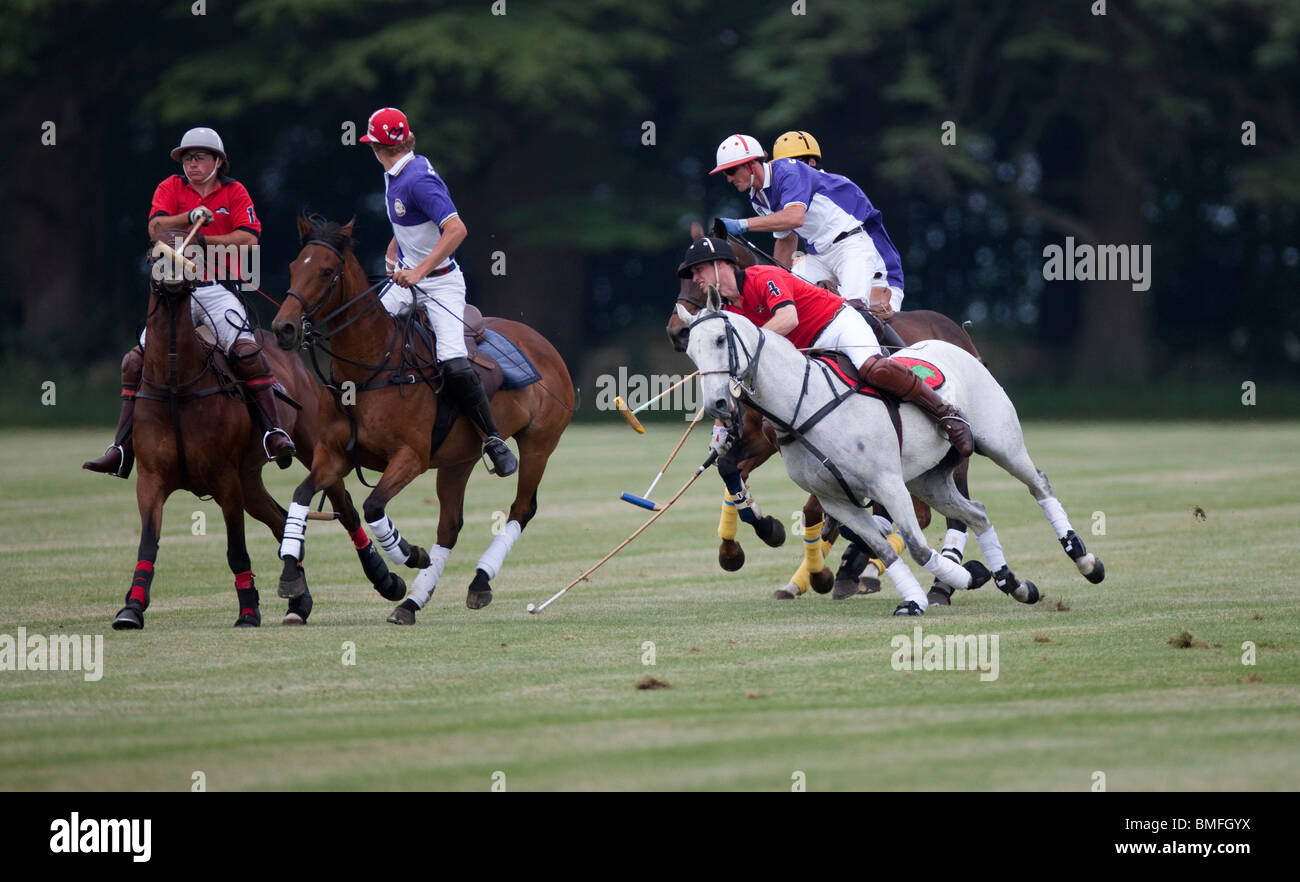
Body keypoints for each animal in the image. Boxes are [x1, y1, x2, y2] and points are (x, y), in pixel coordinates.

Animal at [112, 238, 366, 632]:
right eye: (156, 254)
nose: (172, 277)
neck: (175, 384)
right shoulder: (151, 480)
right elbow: (148, 544)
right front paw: (132, 608)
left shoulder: (224, 480)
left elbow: (236, 549)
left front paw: (248, 610)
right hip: (249, 478)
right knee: (281, 520)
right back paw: (299, 599)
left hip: (311, 446)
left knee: (346, 508)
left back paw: (384, 578)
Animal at [270, 217, 574, 624]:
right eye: (293, 266)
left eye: (326, 271)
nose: (284, 328)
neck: (369, 370)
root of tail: (543, 343)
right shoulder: (331, 454)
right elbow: (301, 495)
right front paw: (290, 575)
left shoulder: (410, 456)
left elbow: (373, 507)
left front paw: (409, 554)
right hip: (458, 459)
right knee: (450, 526)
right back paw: (412, 602)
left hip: (538, 443)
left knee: (522, 508)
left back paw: (478, 580)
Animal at [665, 225, 977, 603]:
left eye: (696, 278)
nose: (677, 331)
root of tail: (956, 330)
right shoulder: (763, 439)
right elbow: (730, 471)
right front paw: (748, 543)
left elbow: (816, 509)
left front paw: (822, 572)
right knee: (917, 512)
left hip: (947, 455)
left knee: (949, 513)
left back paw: (932, 585)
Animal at [681, 294, 1107, 619]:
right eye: (690, 350)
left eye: (719, 339)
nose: (718, 404)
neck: (801, 410)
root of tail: (959, 343)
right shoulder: (838, 501)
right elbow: (885, 546)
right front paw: (925, 595)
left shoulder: (886, 485)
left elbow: (915, 546)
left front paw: (962, 577)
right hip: (929, 478)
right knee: (978, 513)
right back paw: (1012, 582)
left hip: (1002, 444)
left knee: (1038, 484)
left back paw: (1084, 560)